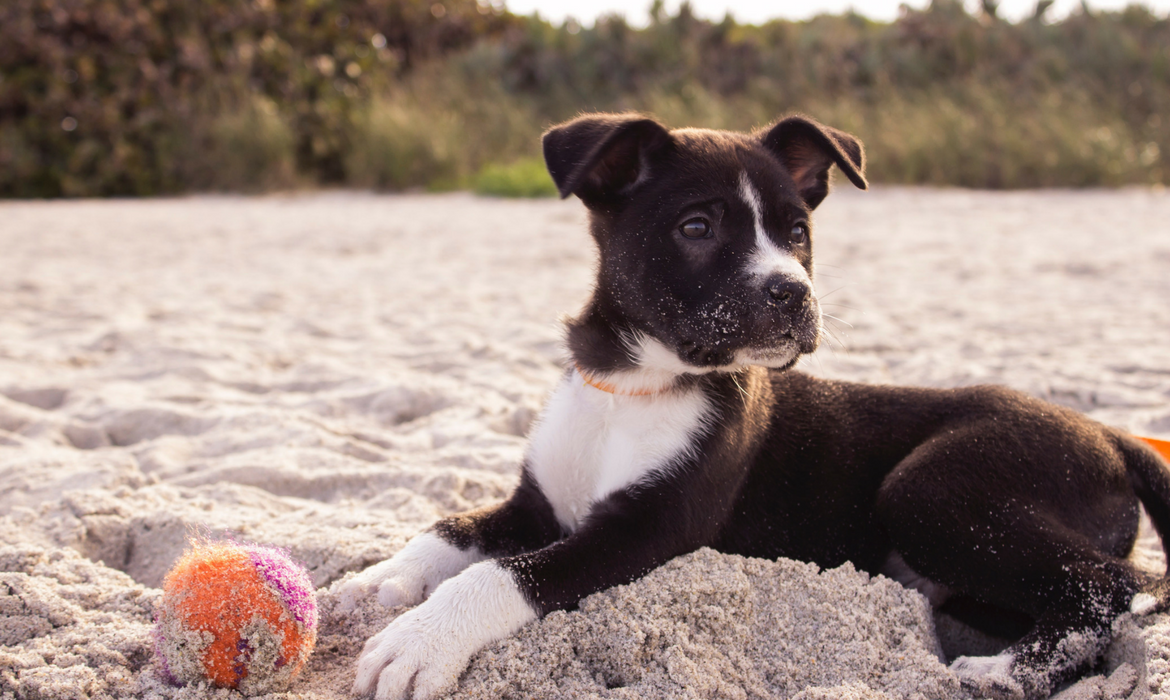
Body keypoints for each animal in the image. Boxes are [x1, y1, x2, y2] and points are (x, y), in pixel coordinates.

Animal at [334, 112, 1170, 697]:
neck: (632, 385)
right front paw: (379, 579)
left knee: (1114, 586)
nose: (793, 293)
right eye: (697, 227)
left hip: (930, 487)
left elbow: (507, 574)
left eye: (798, 232)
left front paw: (422, 641)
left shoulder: (649, 529)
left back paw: (1005, 673)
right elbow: (452, 526)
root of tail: (1108, 434)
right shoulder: (538, 502)